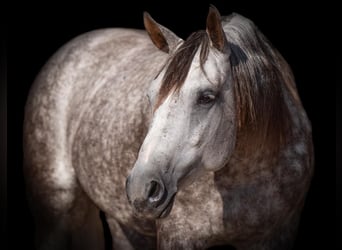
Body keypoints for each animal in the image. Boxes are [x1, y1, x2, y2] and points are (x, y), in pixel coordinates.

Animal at [23, 5, 312, 250]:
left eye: (207, 97)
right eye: (150, 96)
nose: (141, 189)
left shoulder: (277, 236)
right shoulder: (180, 238)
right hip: (55, 213)